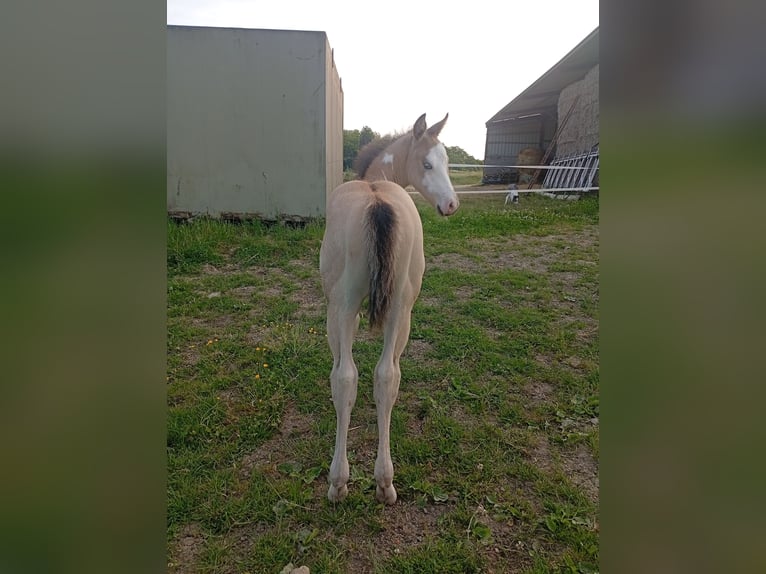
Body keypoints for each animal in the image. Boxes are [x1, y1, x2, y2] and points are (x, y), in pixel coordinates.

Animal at [319, 113, 460, 505]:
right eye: (427, 163)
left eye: (446, 161)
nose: (452, 204)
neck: (376, 181)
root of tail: (377, 202)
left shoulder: (338, 312)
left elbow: (344, 373)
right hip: (399, 306)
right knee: (384, 376)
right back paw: (383, 481)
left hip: (346, 305)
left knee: (348, 376)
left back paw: (340, 483)